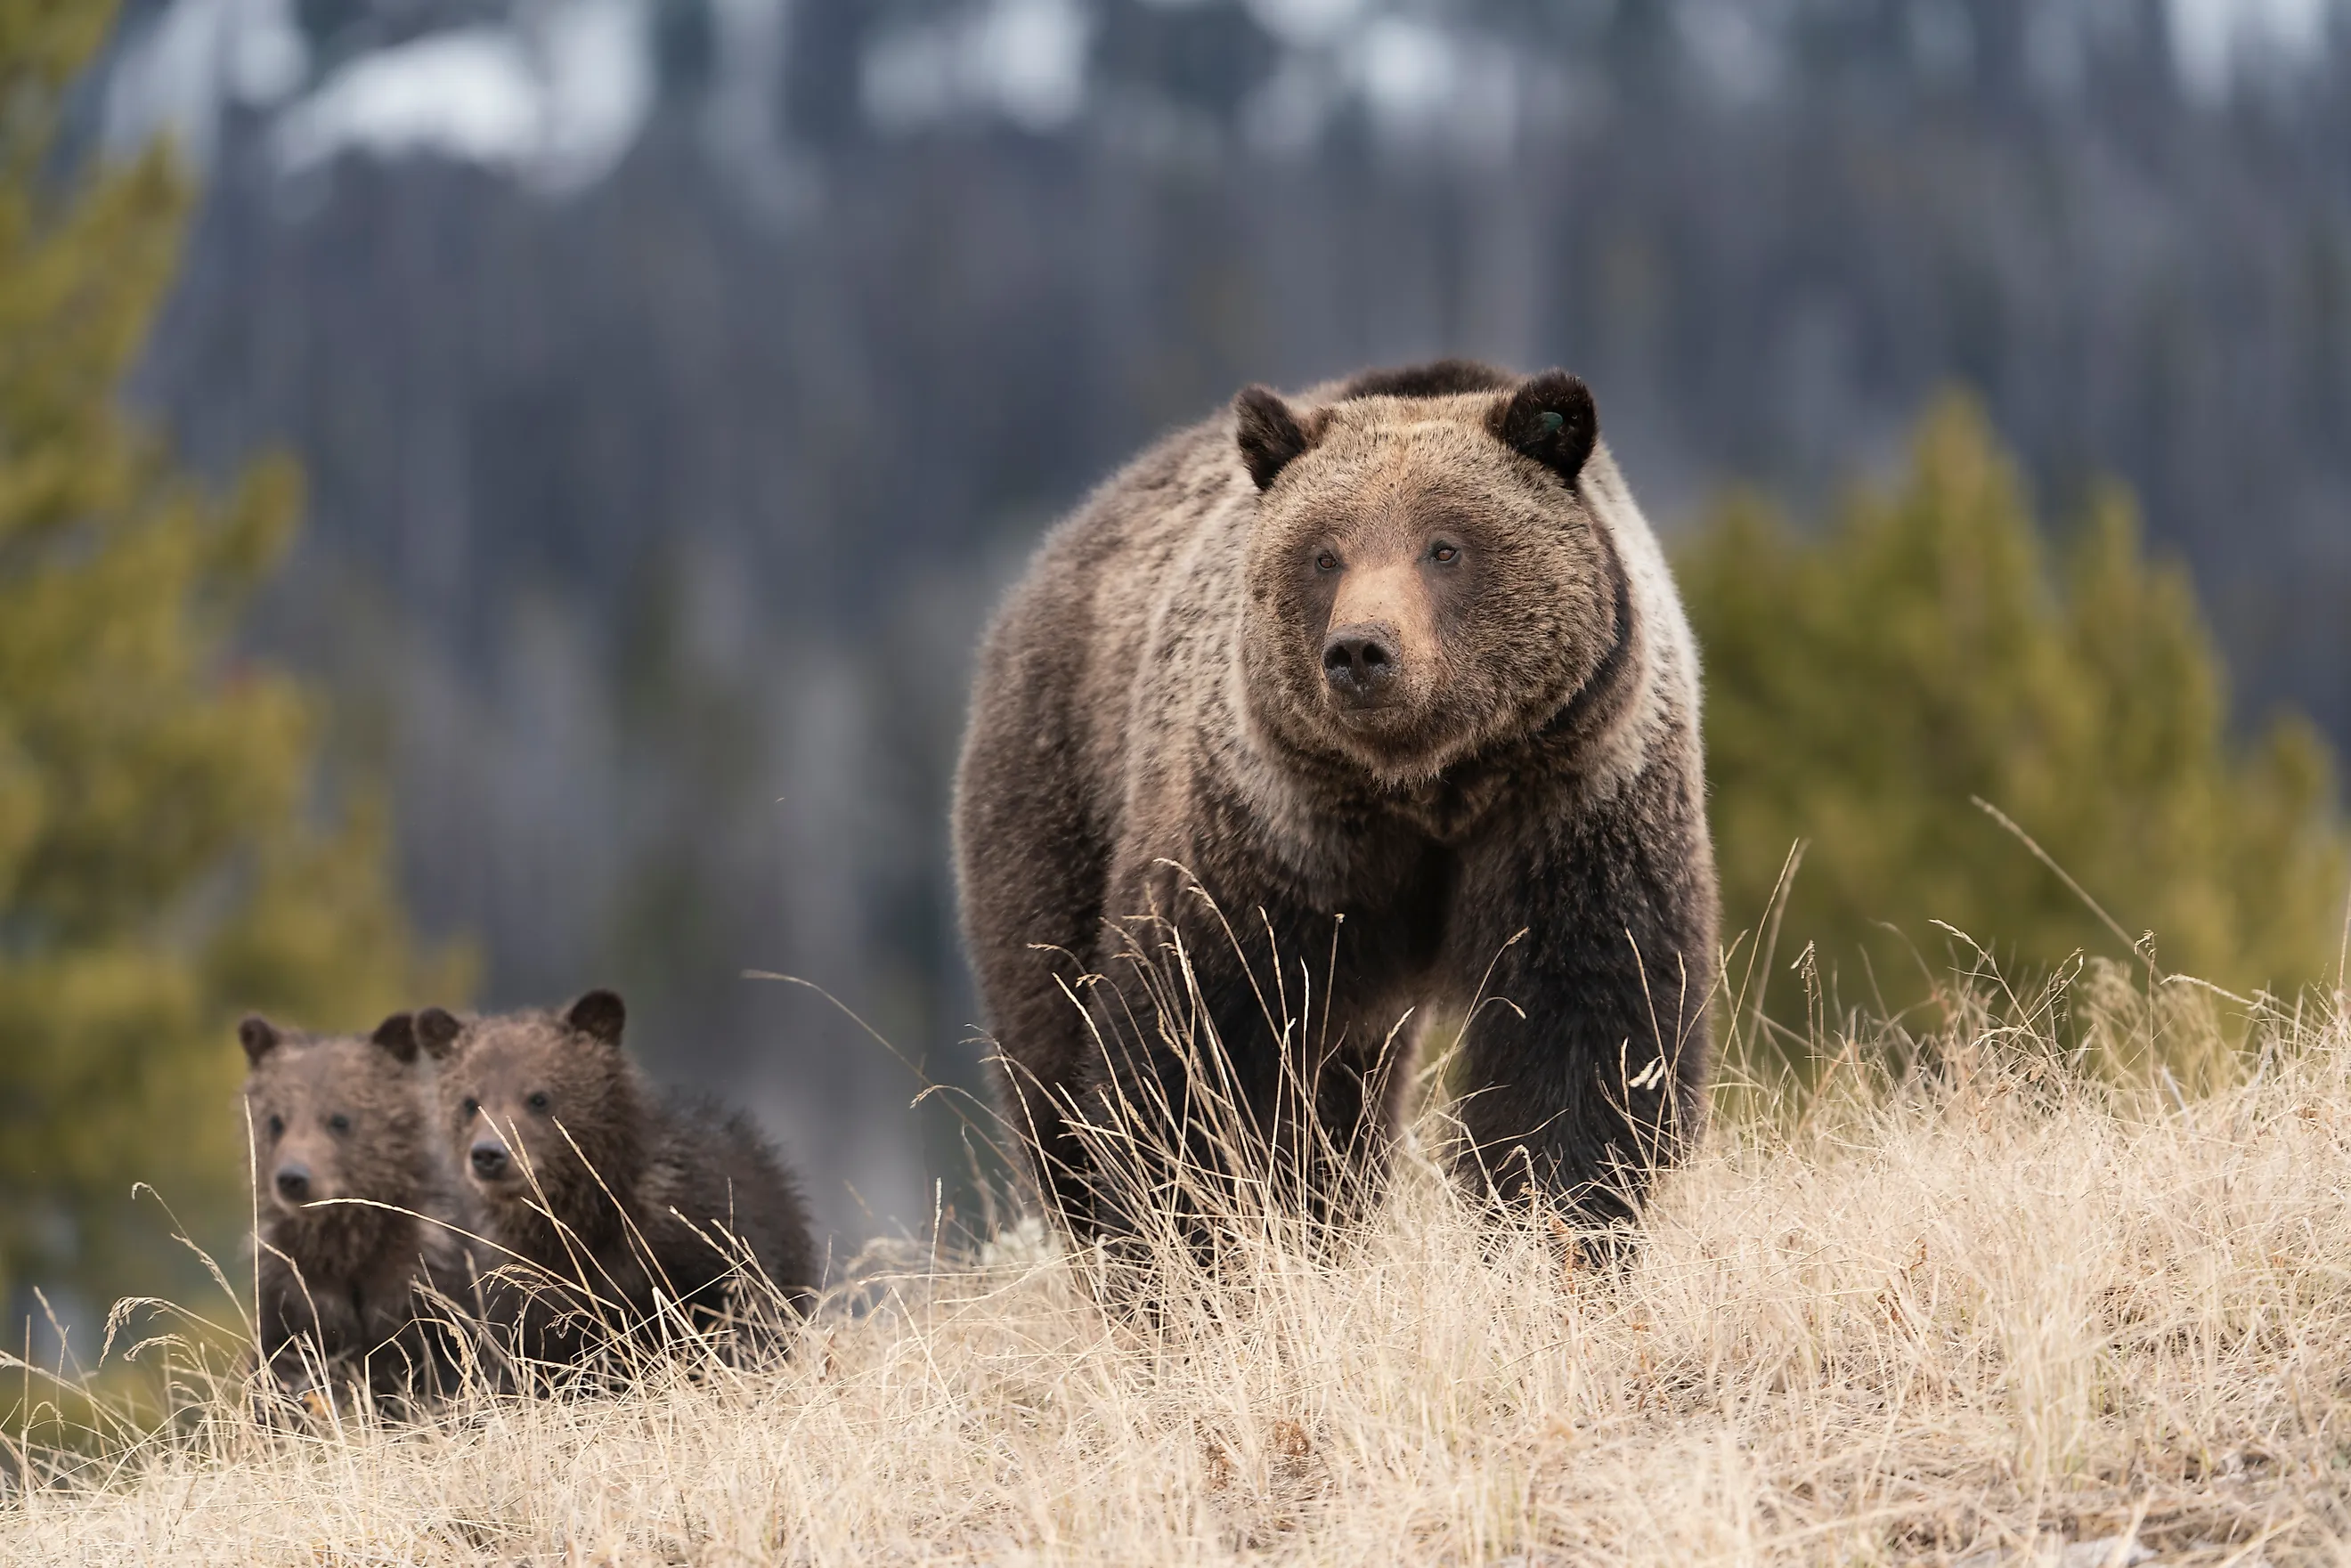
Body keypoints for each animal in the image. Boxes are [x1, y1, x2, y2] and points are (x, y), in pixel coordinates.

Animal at [239, 1011, 475, 1406]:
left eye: (340, 1119)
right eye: (275, 1120)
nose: (293, 1178)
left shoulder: (427, 1283)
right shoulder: (293, 1292)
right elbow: (283, 1369)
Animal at [415, 990, 818, 1378]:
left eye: (540, 1097)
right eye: (469, 1102)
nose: (489, 1154)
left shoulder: (702, 1238)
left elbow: (739, 1311)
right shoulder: (524, 1288)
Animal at [953, 359, 1717, 1249]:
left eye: (1445, 546)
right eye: (1324, 554)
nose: (1360, 650)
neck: (1429, 788)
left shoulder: (1571, 800)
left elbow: (1585, 1026)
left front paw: (1557, 1218)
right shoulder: (1274, 831)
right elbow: (1199, 1039)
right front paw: (1199, 1236)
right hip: (1055, 788)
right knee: (1051, 1036)